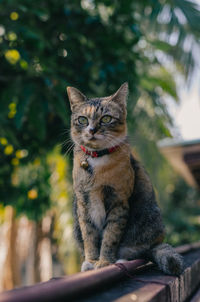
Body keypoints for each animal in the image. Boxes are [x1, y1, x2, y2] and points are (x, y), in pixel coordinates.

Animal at [66, 83, 184, 276]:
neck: (97, 161)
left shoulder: (118, 202)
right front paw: (91, 261)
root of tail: (156, 242)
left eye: (106, 118)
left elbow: (110, 236)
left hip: (146, 224)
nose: (92, 130)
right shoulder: (84, 203)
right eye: (82, 120)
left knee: (138, 252)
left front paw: (104, 262)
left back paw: (121, 260)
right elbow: (89, 235)